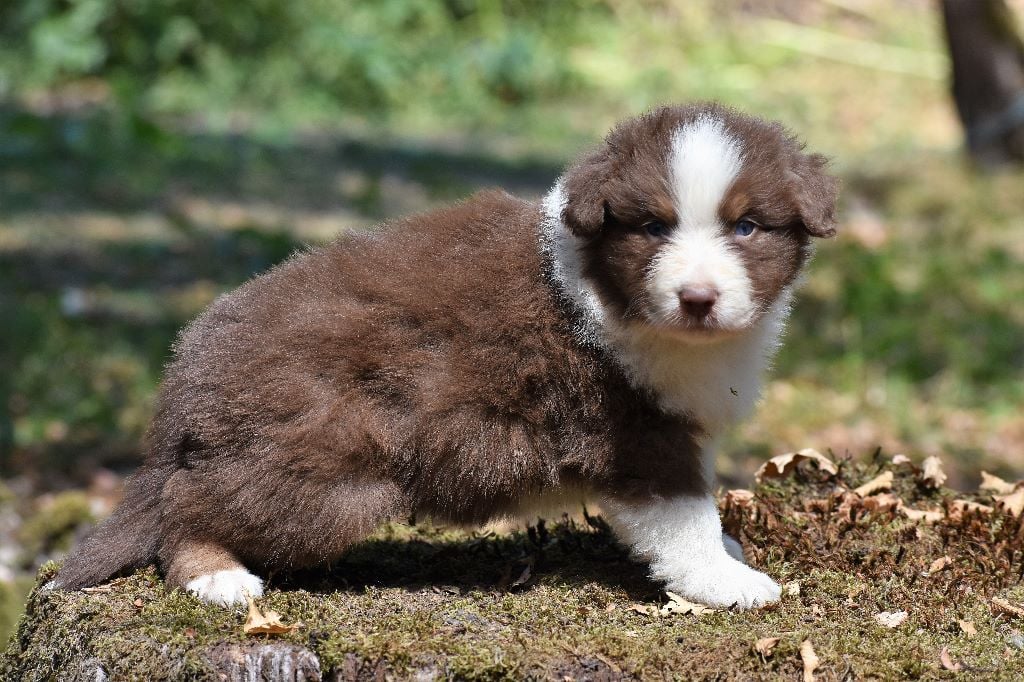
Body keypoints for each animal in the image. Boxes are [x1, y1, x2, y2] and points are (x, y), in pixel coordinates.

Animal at [52, 102, 837, 610]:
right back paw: (215, 576)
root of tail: (185, 376)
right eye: (652, 227)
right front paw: (730, 584)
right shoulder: (639, 435)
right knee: (190, 506)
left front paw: (732, 555)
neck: (618, 298)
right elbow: (685, 522)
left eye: (746, 226)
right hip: (320, 476)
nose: (698, 297)